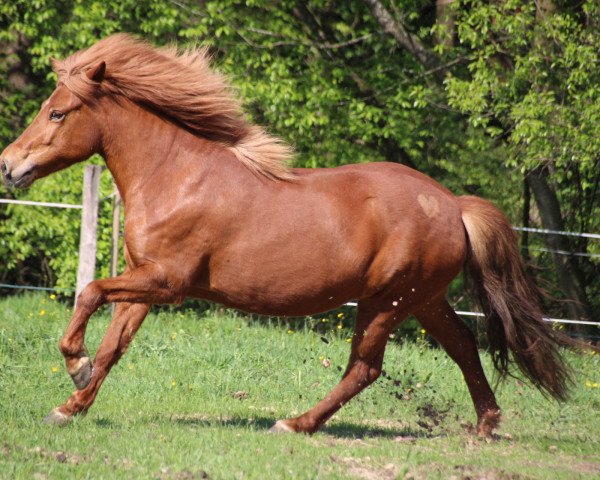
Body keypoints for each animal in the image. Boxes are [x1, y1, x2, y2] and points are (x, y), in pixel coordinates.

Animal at [0, 35, 572, 436]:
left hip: (386, 302)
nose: (8, 165)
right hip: (424, 299)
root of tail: (454, 205)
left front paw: (74, 366)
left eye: (57, 112)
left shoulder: (166, 282)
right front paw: (69, 406)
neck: (175, 176)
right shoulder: (145, 283)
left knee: (365, 368)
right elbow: (114, 346)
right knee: (465, 349)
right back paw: (485, 427)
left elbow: (90, 292)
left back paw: (294, 424)